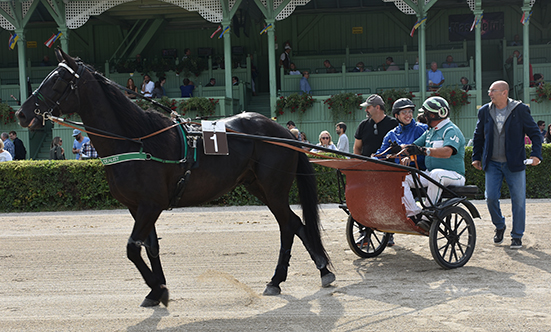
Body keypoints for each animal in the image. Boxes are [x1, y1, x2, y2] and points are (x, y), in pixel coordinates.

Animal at [16, 48, 336, 306]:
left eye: (57, 79)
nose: (22, 113)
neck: (137, 141)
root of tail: (285, 133)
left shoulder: (151, 205)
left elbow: (132, 248)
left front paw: (158, 288)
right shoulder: (138, 206)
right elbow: (150, 247)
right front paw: (156, 291)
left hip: (274, 188)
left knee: (289, 225)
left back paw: (296, 275)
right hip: (259, 187)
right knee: (294, 224)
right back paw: (308, 272)